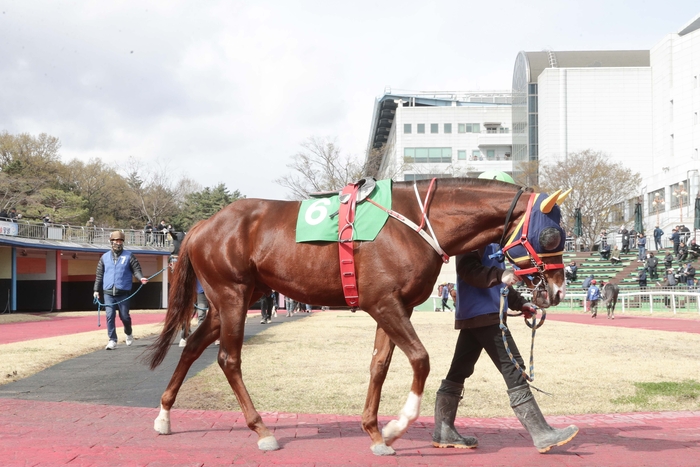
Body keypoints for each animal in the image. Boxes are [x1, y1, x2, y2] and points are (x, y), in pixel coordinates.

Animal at [146, 178, 570, 456]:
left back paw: (164, 415)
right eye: (553, 235)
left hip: (234, 299)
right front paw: (396, 427)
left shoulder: (394, 306)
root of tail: (204, 224)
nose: (556, 290)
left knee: (192, 346)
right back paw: (262, 430)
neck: (414, 222)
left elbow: (379, 365)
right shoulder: (383, 303)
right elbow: (420, 358)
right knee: (227, 358)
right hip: (232, 295)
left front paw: (375, 432)